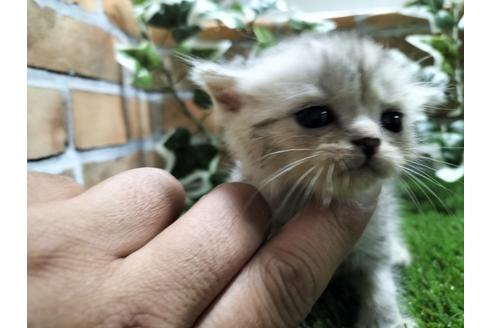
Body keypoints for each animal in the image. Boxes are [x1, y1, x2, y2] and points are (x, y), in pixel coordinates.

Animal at [190, 32, 444, 328]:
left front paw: (385, 319)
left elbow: (379, 279)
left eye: (393, 120)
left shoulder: (374, 234)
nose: (370, 141)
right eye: (315, 116)